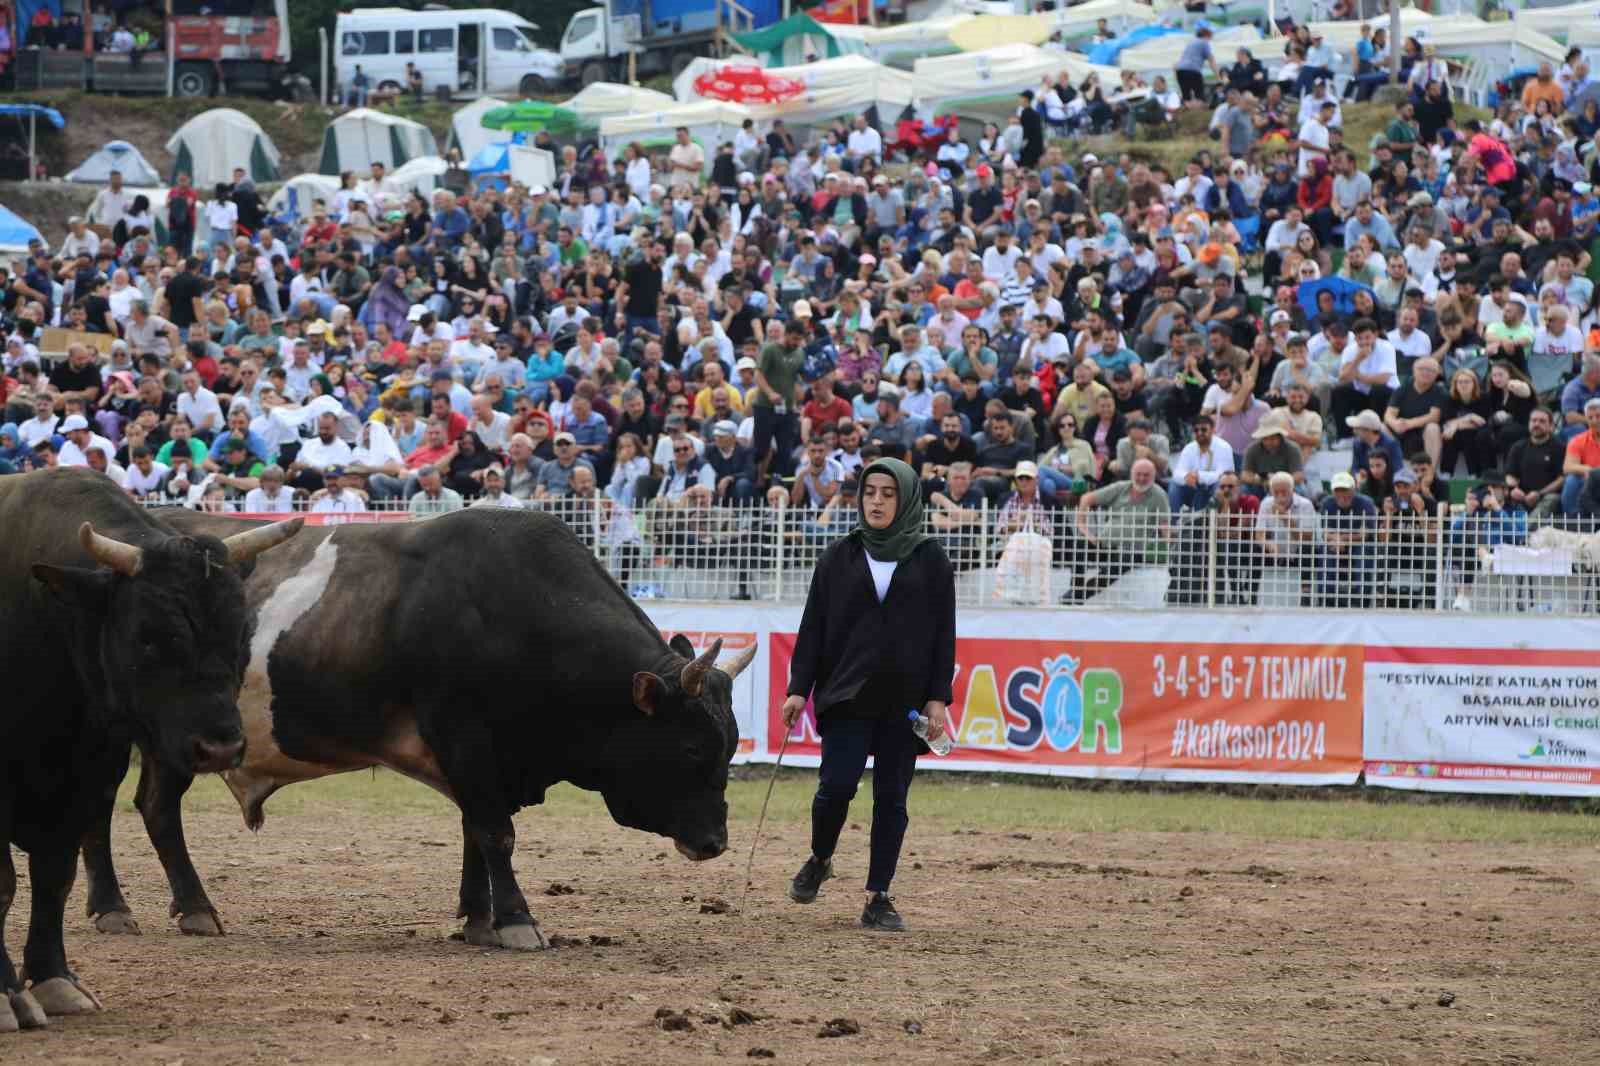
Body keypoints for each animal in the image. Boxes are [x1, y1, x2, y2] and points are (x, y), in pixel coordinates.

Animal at [84, 505, 758, 947]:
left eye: (728, 747)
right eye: (691, 747)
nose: (714, 843)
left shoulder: (480, 763)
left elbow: (474, 833)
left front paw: (479, 918)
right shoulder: (467, 742)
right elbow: (495, 833)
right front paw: (517, 921)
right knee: (134, 809)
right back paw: (157, 907)